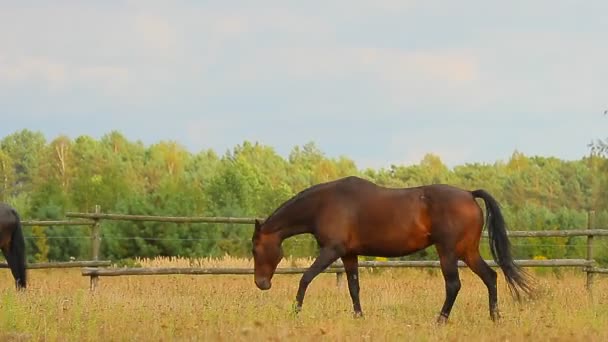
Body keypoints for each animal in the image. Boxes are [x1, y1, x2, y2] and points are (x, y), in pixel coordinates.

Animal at [251, 176, 532, 324]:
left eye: (254, 249)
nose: (261, 284)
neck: (325, 204)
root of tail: (468, 194)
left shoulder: (332, 250)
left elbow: (305, 278)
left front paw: (295, 312)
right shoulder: (349, 254)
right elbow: (354, 287)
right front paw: (359, 317)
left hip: (448, 252)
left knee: (454, 285)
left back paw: (440, 320)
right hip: (468, 252)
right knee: (490, 277)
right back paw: (494, 317)